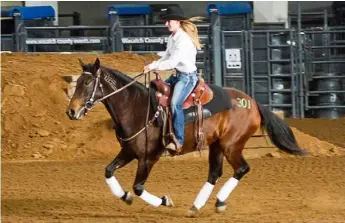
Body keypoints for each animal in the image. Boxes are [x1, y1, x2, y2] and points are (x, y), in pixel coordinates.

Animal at [66, 57, 306, 216]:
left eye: (87, 83)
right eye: (76, 83)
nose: (71, 111)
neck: (137, 108)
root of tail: (253, 102)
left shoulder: (148, 157)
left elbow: (138, 187)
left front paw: (165, 201)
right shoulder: (128, 151)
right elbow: (108, 171)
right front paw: (125, 196)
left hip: (231, 144)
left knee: (241, 168)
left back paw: (218, 201)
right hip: (216, 145)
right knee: (214, 173)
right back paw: (198, 206)